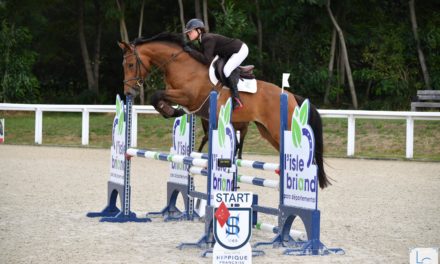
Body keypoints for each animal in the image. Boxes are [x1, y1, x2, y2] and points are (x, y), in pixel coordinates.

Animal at [117, 33, 330, 189]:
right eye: (124, 65)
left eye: (130, 64)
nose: (128, 92)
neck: (181, 65)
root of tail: (292, 96)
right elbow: (158, 98)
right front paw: (171, 111)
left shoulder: (187, 96)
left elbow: (156, 95)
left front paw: (172, 112)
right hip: (267, 131)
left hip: (279, 129)